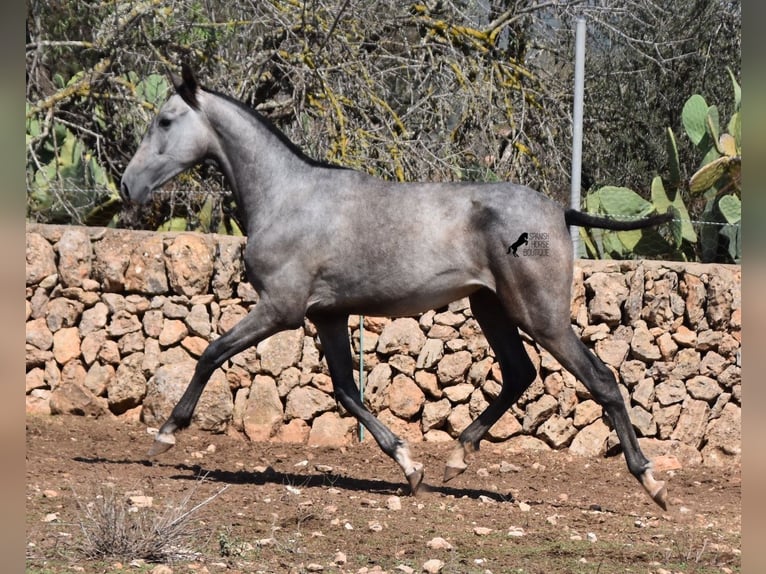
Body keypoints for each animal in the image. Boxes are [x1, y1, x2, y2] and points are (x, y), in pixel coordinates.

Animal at [120, 65, 672, 510]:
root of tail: (560, 210)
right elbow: (346, 390)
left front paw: (164, 436)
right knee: (519, 373)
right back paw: (457, 457)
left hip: (541, 316)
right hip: (490, 307)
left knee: (601, 380)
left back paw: (652, 483)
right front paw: (410, 467)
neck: (287, 196)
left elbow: (210, 353)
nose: (128, 186)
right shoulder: (327, 315)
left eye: (164, 121)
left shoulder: (280, 308)